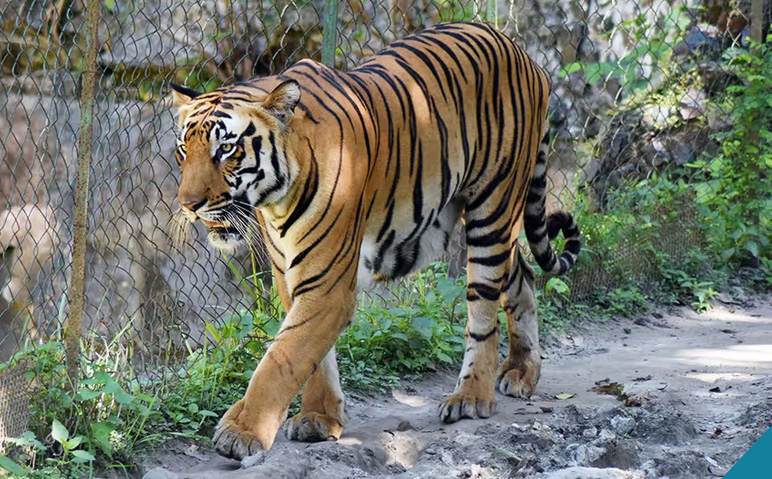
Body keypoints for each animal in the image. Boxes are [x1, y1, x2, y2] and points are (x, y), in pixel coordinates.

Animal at [169, 21, 580, 462]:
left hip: (493, 206)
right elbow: (311, 356)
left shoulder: (327, 284)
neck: (277, 200)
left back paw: (471, 397)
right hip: (489, 218)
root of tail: (523, 53)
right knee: (522, 274)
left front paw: (242, 432)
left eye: (226, 149)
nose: (188, 205)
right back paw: (522, 371)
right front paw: (319, 417)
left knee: (483, 312)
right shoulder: (290, 275)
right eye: (183, 151)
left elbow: (281, 359)